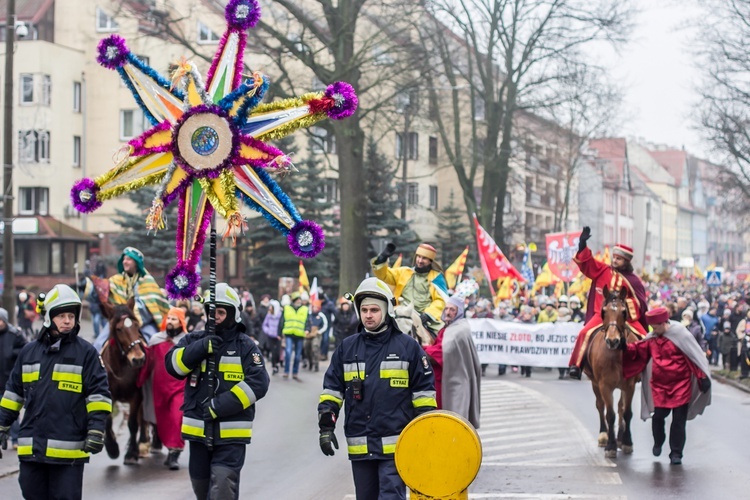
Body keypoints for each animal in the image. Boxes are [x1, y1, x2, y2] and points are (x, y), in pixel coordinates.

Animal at [99, 296, 148, 464]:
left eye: (136, 326)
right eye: (119, 329)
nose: (138, 359)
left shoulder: (137, 395)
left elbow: (132, 423)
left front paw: (131, 453)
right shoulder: (109, 395)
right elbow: (107, 421)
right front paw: (112, 447)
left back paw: (143, 443)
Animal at [588, 286, 640, 458]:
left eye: (624, 312)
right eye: (603, 311)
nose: (612, 341)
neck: (616, 354)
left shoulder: (629, 385)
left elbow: (627, 412)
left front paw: (627, 442)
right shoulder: (605, 386)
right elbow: (610, 414)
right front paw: (610, 446)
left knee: (620, 407)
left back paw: (620, 438)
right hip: (595, 383)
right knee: (600, 406)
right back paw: (604, 436)